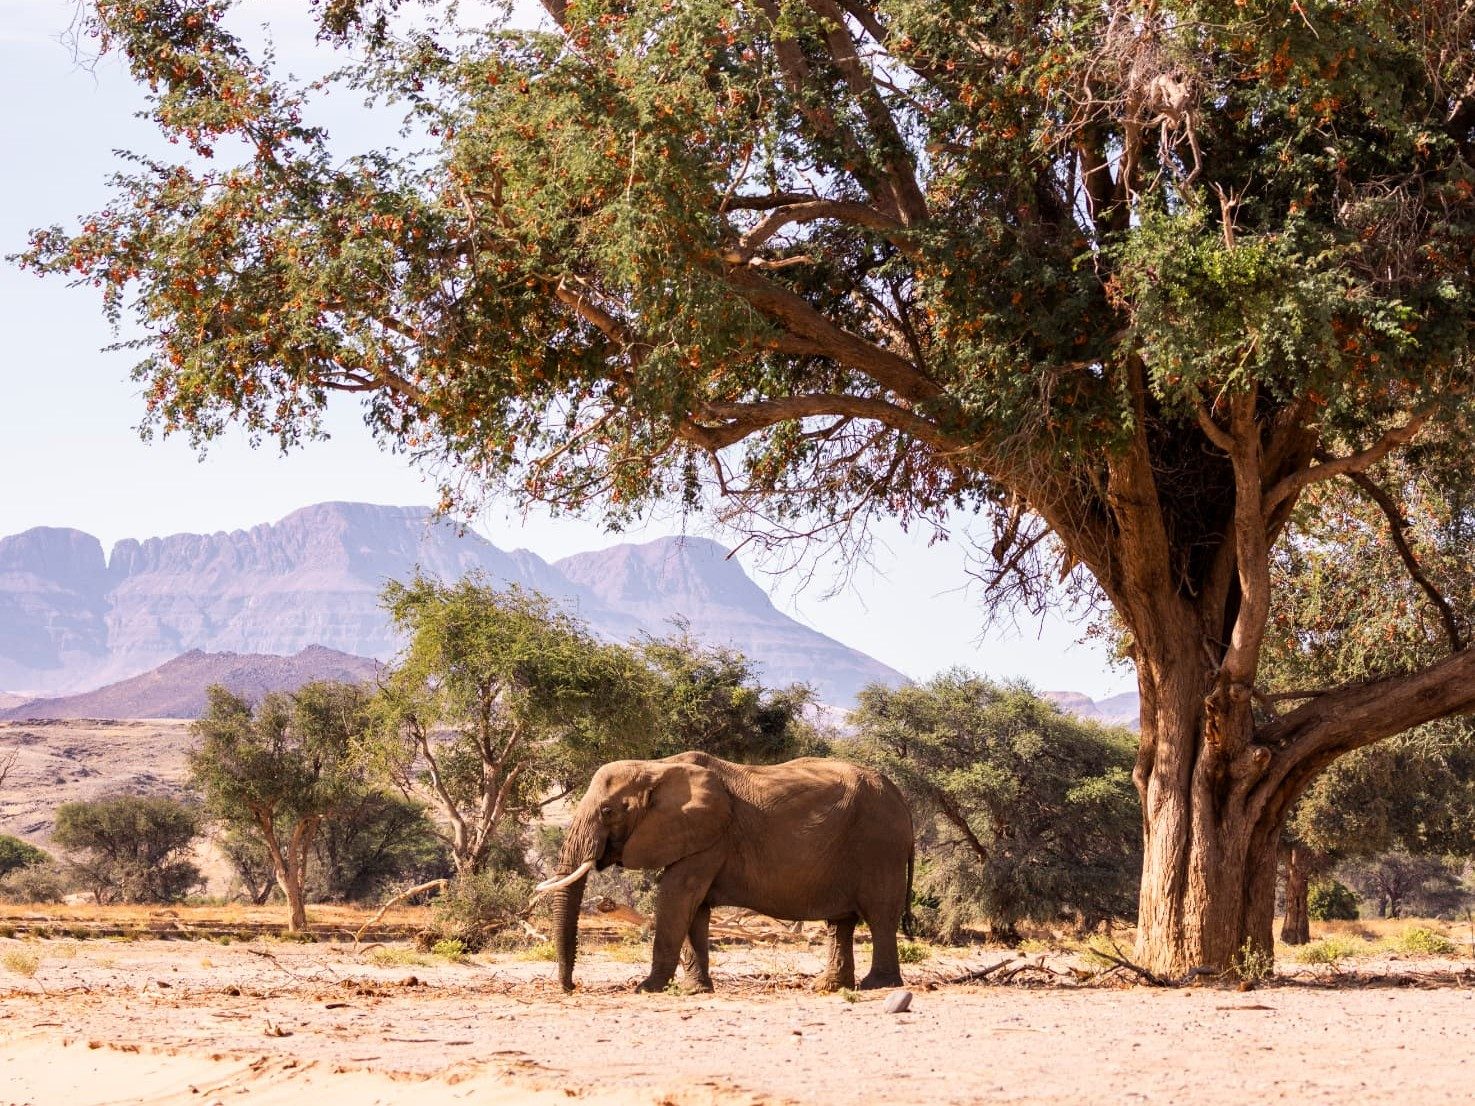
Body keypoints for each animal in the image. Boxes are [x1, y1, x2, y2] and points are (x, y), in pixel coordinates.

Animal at [534, 751, 914, 994]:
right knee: (841, 922)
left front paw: (647, 989)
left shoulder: (710, 837)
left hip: (880, 846)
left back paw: (877, 985)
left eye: (608, 811)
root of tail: (901, 798)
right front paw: (696, 990)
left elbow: (677, 895)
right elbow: (694, 908)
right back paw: (829, 987)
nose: (570, 988)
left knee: (880, 916)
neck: (657, 767)